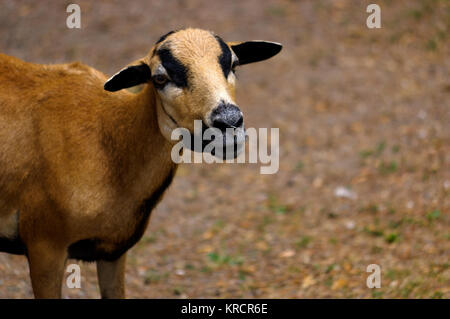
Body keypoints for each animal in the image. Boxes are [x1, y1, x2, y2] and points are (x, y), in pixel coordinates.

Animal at [0, 28, 282, 298]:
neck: (109, 140)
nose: (230, 123)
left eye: (234, 64)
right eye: (160, 78)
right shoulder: (44, 246)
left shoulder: (113, 251)